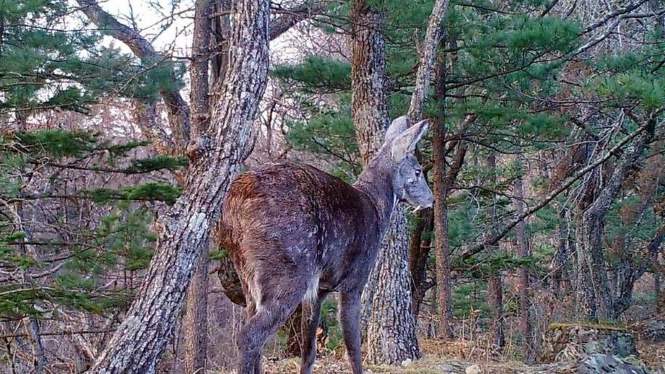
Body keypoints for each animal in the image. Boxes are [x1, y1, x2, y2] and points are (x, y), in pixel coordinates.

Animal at [218, 115, 434, 372]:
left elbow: (309, 351)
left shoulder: (318, 290)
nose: (431, 199)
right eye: (418, 171)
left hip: (249, 278)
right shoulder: (355, 280)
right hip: (288, 272)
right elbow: (353, 348)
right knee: (249, 336)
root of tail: (234, 203)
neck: (377, 209)